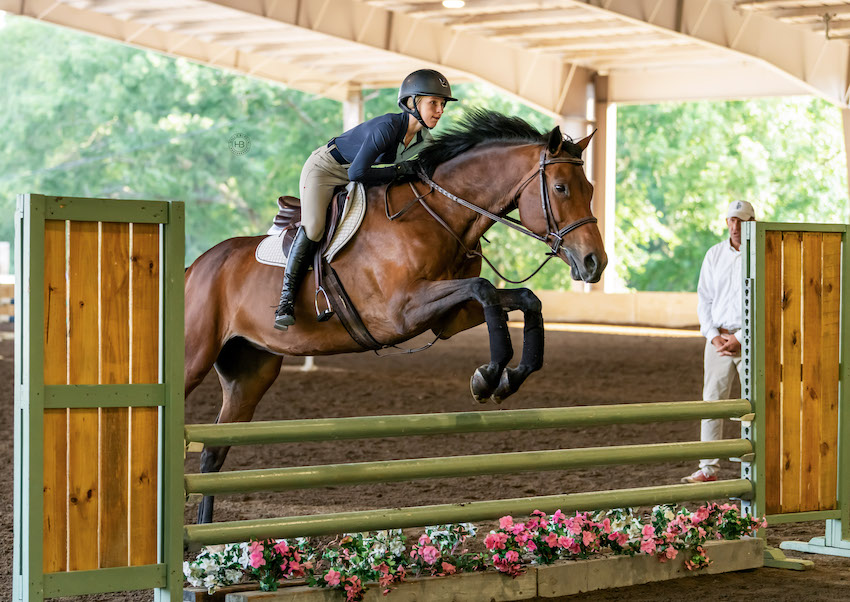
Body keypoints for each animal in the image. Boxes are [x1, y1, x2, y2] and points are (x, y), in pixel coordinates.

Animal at [187, 109, 604, 520]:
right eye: (561, 188)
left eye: (590, 190)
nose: (594, 262)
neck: (439, 215)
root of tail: (195, 268)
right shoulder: (401, 312)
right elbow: (485, 288)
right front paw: (487, 376)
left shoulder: (449, 317)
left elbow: (523, 299)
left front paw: (507, 379)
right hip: (195, 358)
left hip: (249, 373)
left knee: (212, 455)